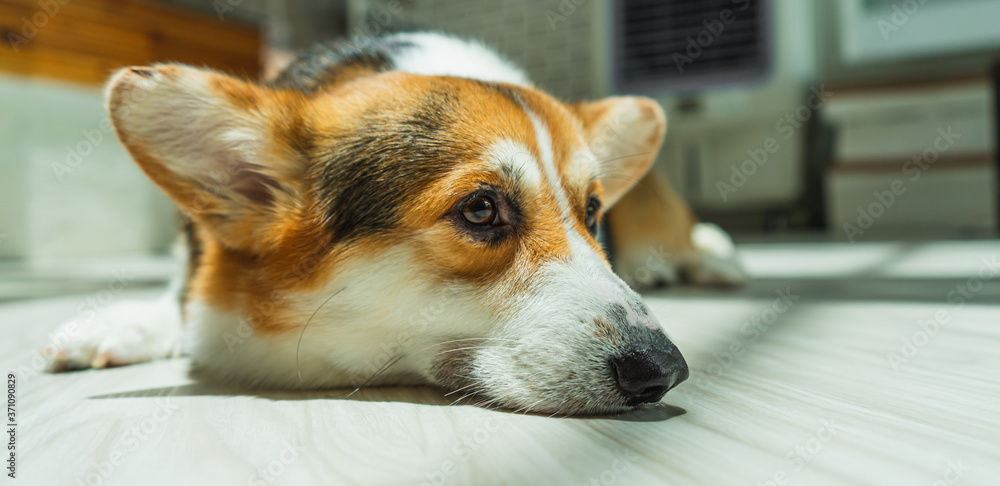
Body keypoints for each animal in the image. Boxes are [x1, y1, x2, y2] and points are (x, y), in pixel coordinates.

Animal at [48, 32, 744, 416]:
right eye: (480, 209)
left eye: (593, 213)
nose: (666, 370)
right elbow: (179, 294)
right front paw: (121, 324)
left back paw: (715, 259)